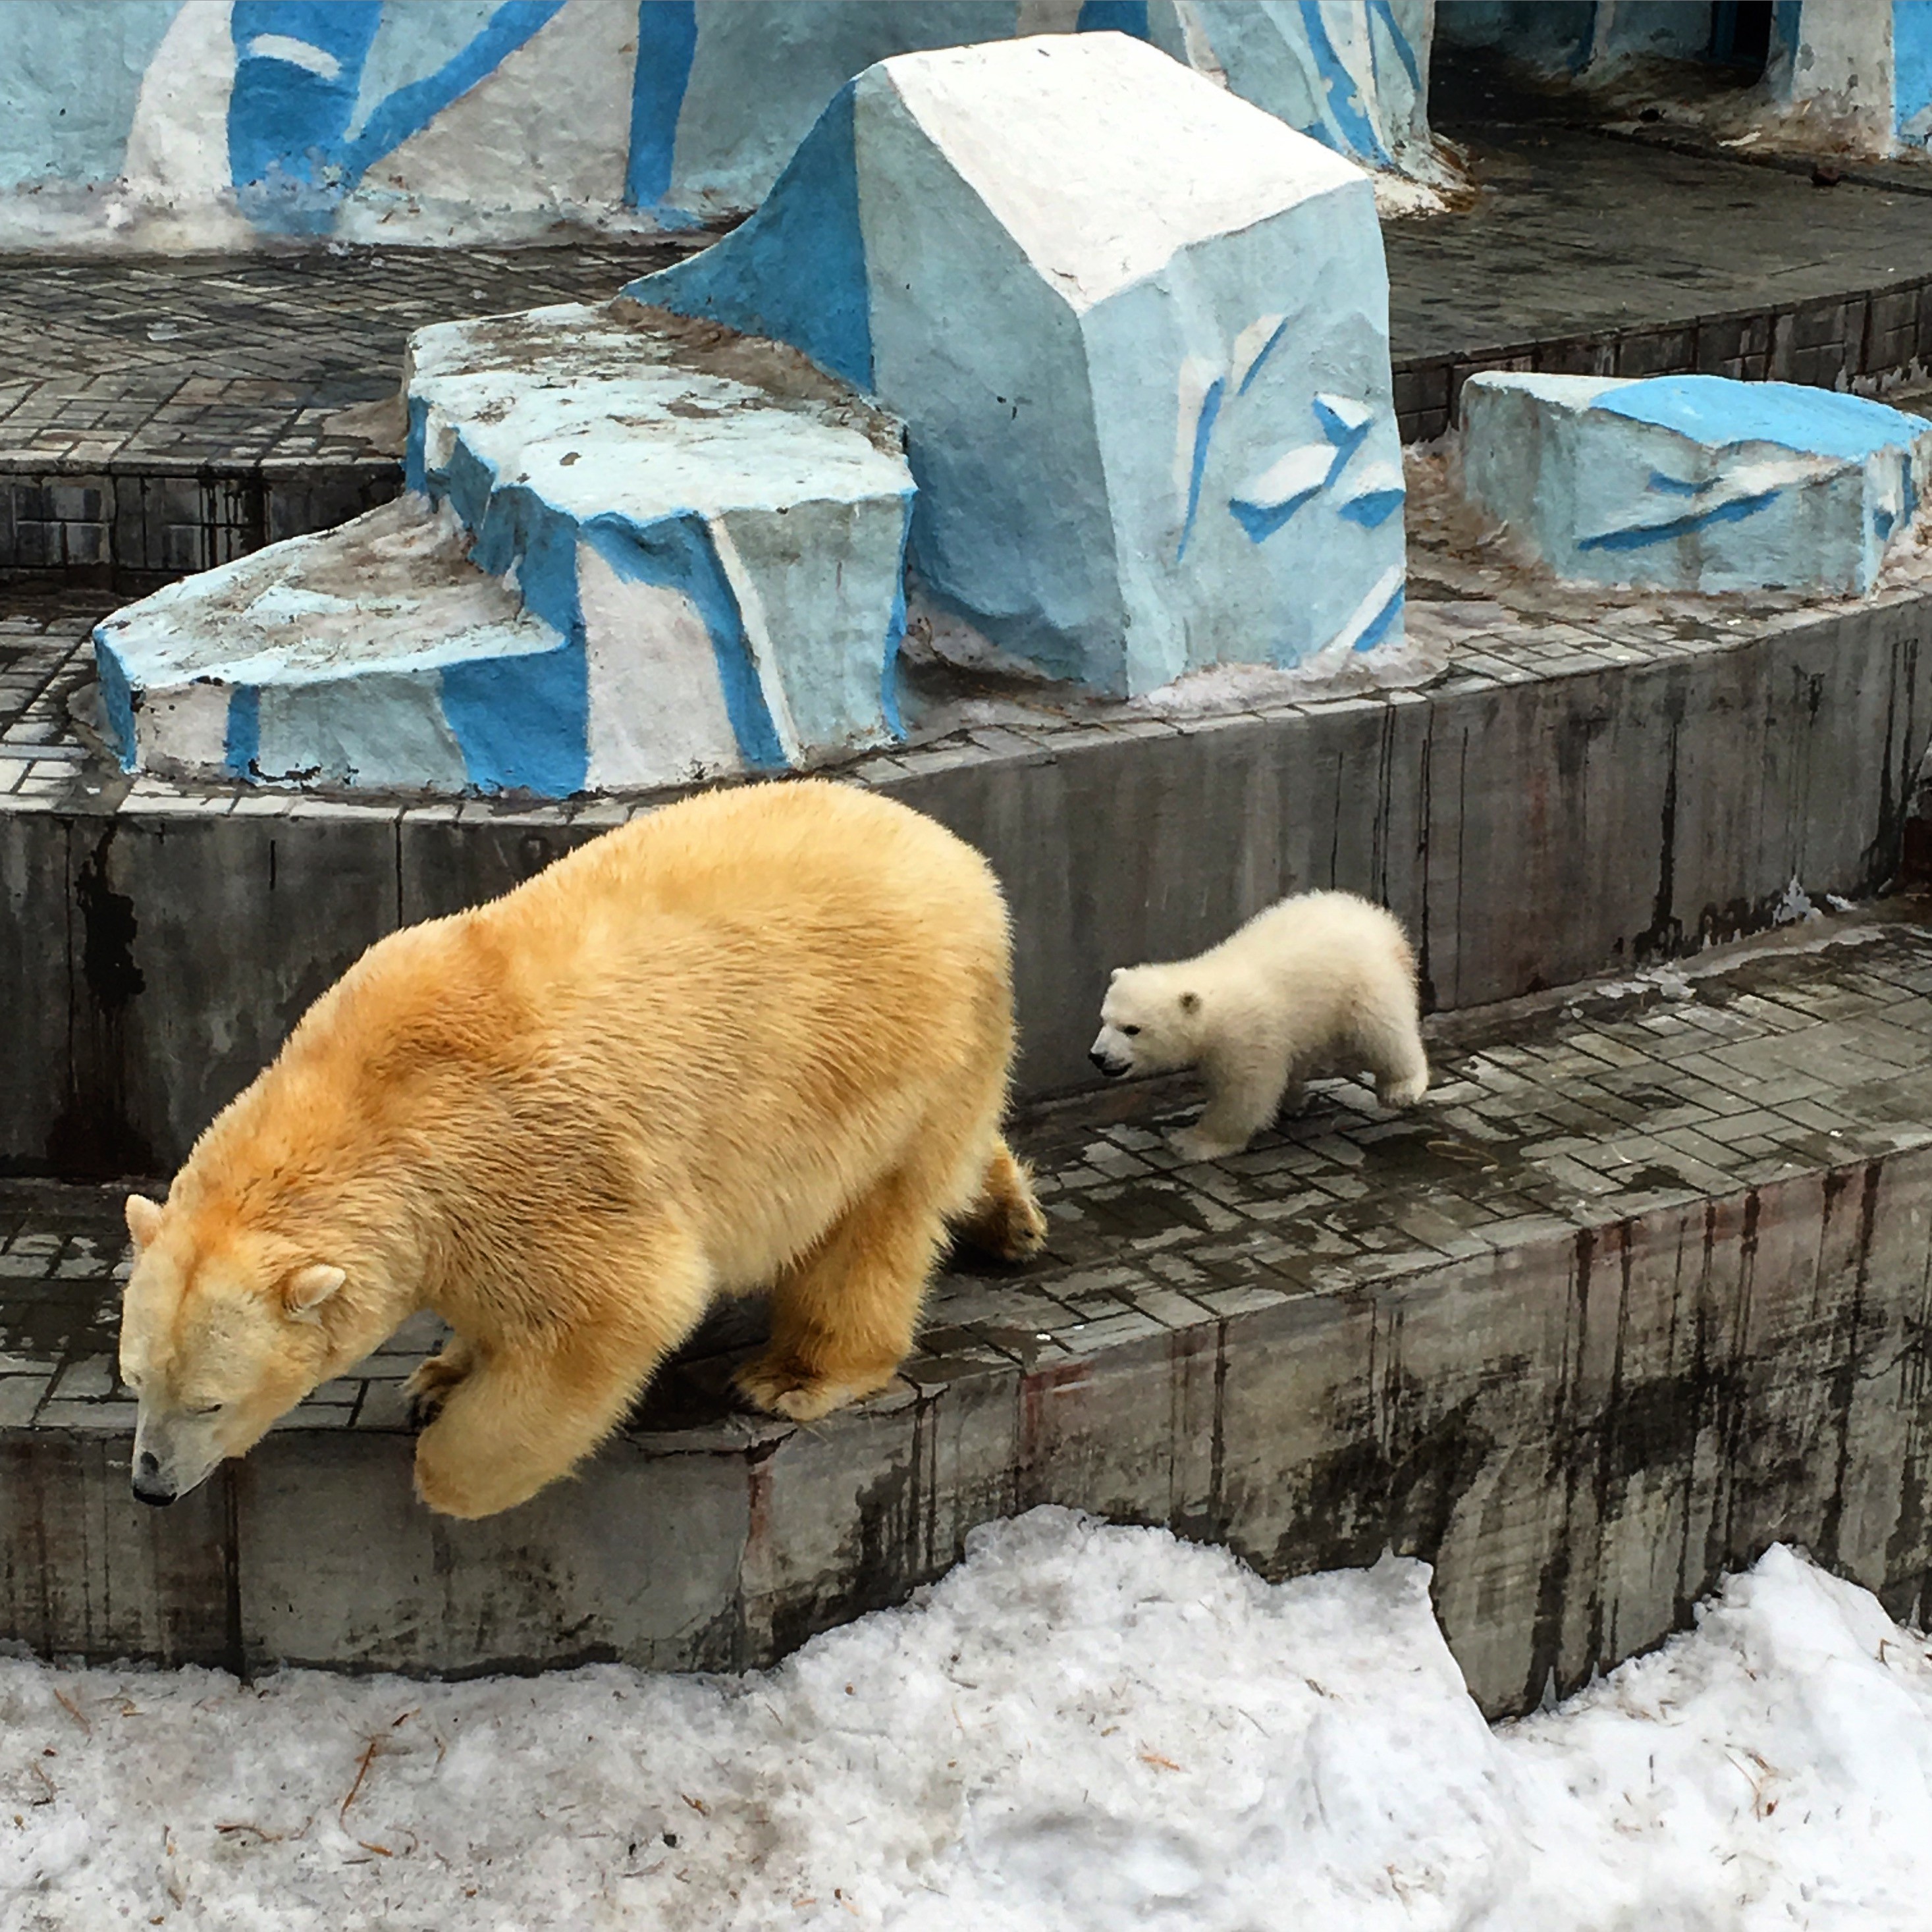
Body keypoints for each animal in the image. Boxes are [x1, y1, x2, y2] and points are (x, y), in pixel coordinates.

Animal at [113, 776, 1051, 1515]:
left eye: (209, 1403)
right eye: (134, 1382)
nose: (150, 1486)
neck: (364, 1094)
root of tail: (961, 857)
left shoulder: (521, 1164)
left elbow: (614, 1312)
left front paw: (444, 1465)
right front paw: (442, 1375)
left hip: (892, 1053)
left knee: (874, 1222)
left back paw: (797, 1373)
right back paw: (1011, 1221)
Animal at [1097, 892, 1430, 1159]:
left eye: (1132, 1029)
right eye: (1104, 1019)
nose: (1098, 1056)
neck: (1215, 995)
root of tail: (1381, 922)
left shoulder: (1248, 1035)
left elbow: (1245, 1092)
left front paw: (1190, 1142)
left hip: (1363, 983)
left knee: (1384, 1033)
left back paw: (1401, 1088)